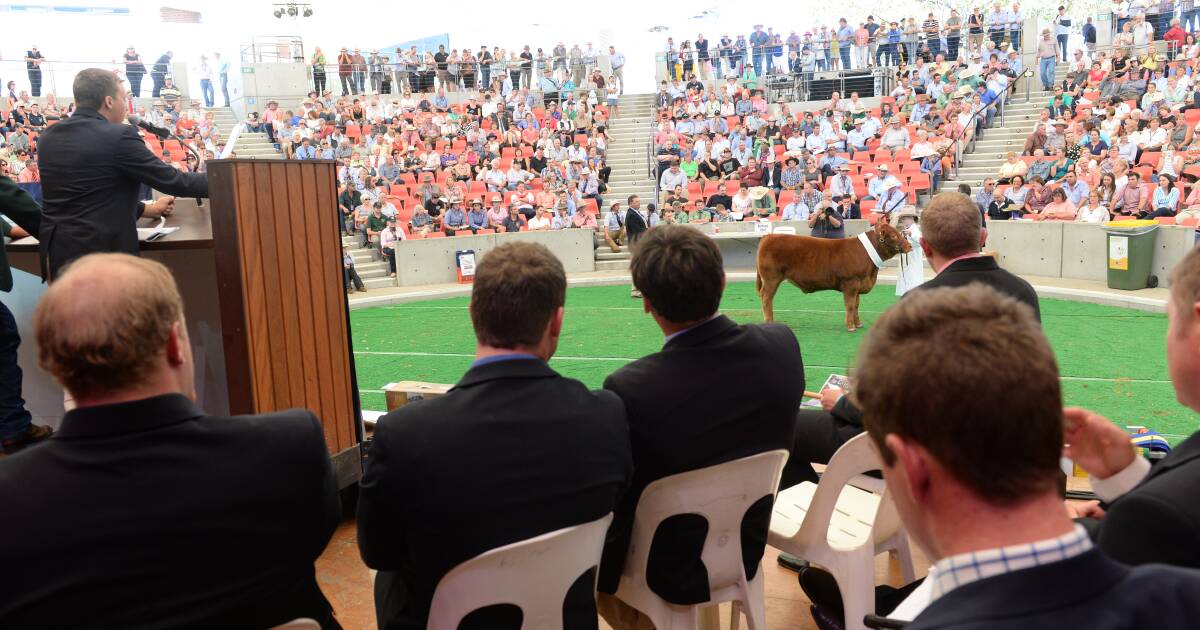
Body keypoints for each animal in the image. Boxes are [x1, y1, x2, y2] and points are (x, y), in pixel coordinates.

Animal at [753, 223, 912, 331]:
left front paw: (858, 323)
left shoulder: (858, 285)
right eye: (893, 235)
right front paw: (851, 326)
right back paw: (769, 321)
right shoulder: (851, 283)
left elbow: (856, 305)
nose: (909, 246)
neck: (871, 272)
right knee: (766, 298)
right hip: (771, 278)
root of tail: (768, 236)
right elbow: (849, 305)